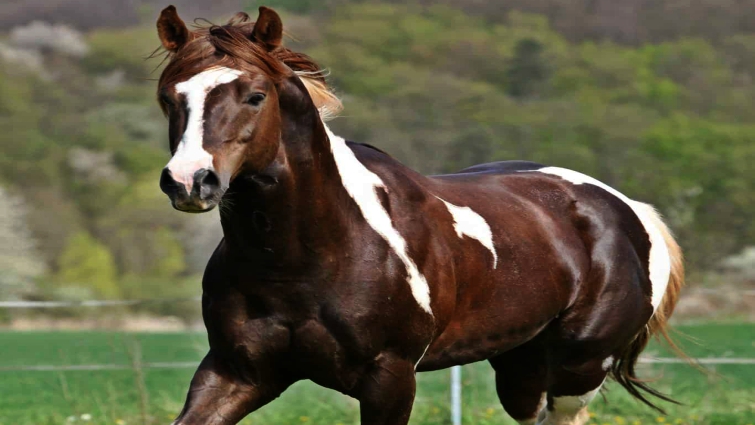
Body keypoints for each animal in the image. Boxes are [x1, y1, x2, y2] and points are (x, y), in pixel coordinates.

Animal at [155, 6, 685, 425]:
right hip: (522, 367)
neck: (302, 258)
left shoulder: (390, 377)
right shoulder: (236, 373)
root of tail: (630, 210)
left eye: (255, 96)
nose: (189, 181)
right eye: (168, 97)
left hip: (578, 371)